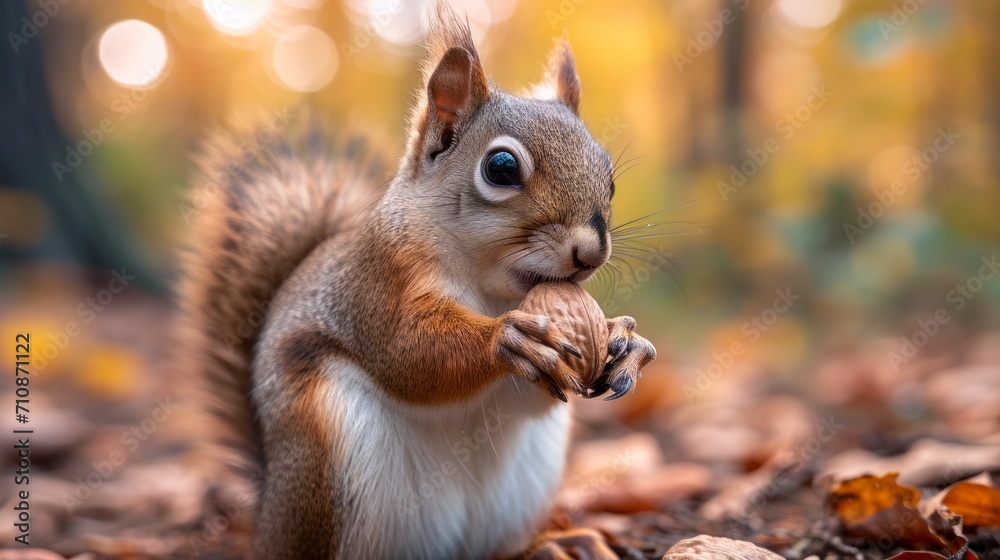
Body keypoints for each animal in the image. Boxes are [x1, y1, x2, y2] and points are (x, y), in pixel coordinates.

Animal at [176, 5, 656, 559]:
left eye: (610, 176)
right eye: (501, 167)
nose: (591, 252)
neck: (490, 284)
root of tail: (269, 517)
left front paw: (626, 341)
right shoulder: (379, 279)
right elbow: (407, 351)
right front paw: (508, 338)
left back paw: (555, 544)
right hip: (326, 460)